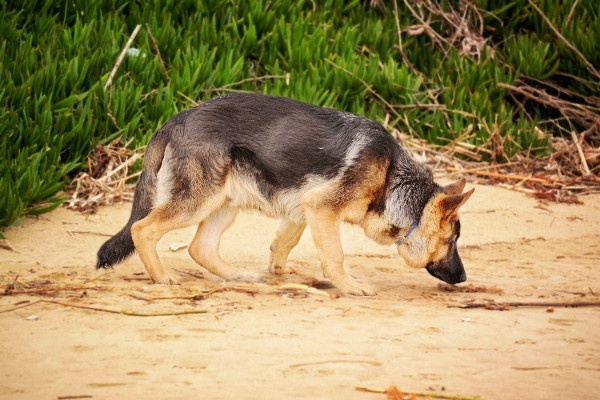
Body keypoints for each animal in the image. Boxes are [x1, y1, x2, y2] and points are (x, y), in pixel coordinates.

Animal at [97, 93, 474, 294]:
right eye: (451, 242)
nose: (464, 277)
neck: (392, 178)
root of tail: (174, 120)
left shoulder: (304, 209)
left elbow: (285, 243)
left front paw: (278, 270)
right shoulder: (322, 209)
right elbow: (335, 256)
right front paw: (349, 286)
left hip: (224, 204)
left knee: (199, 247)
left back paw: (237, 276)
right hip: (196, 203)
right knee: (141, 229)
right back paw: (162, 277)